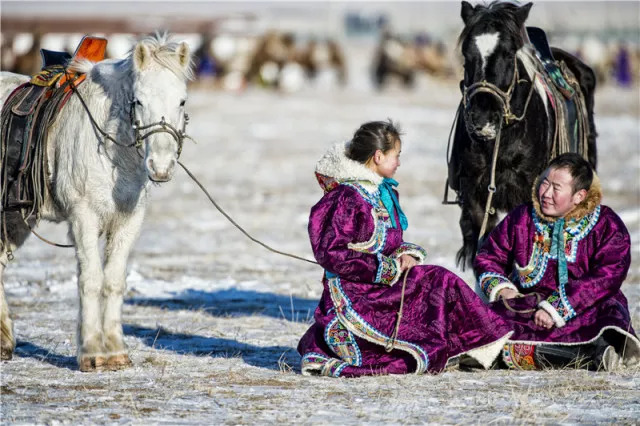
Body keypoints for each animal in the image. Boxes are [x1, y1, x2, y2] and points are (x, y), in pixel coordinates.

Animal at [0, 35, 192, 372]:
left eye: (181, 101)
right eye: (139, 101)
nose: (160, 166)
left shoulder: (129, 220)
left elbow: (113, 281)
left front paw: (116, 351)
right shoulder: (83, 217)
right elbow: (90, 279)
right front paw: (92, 352)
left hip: (16, 217)